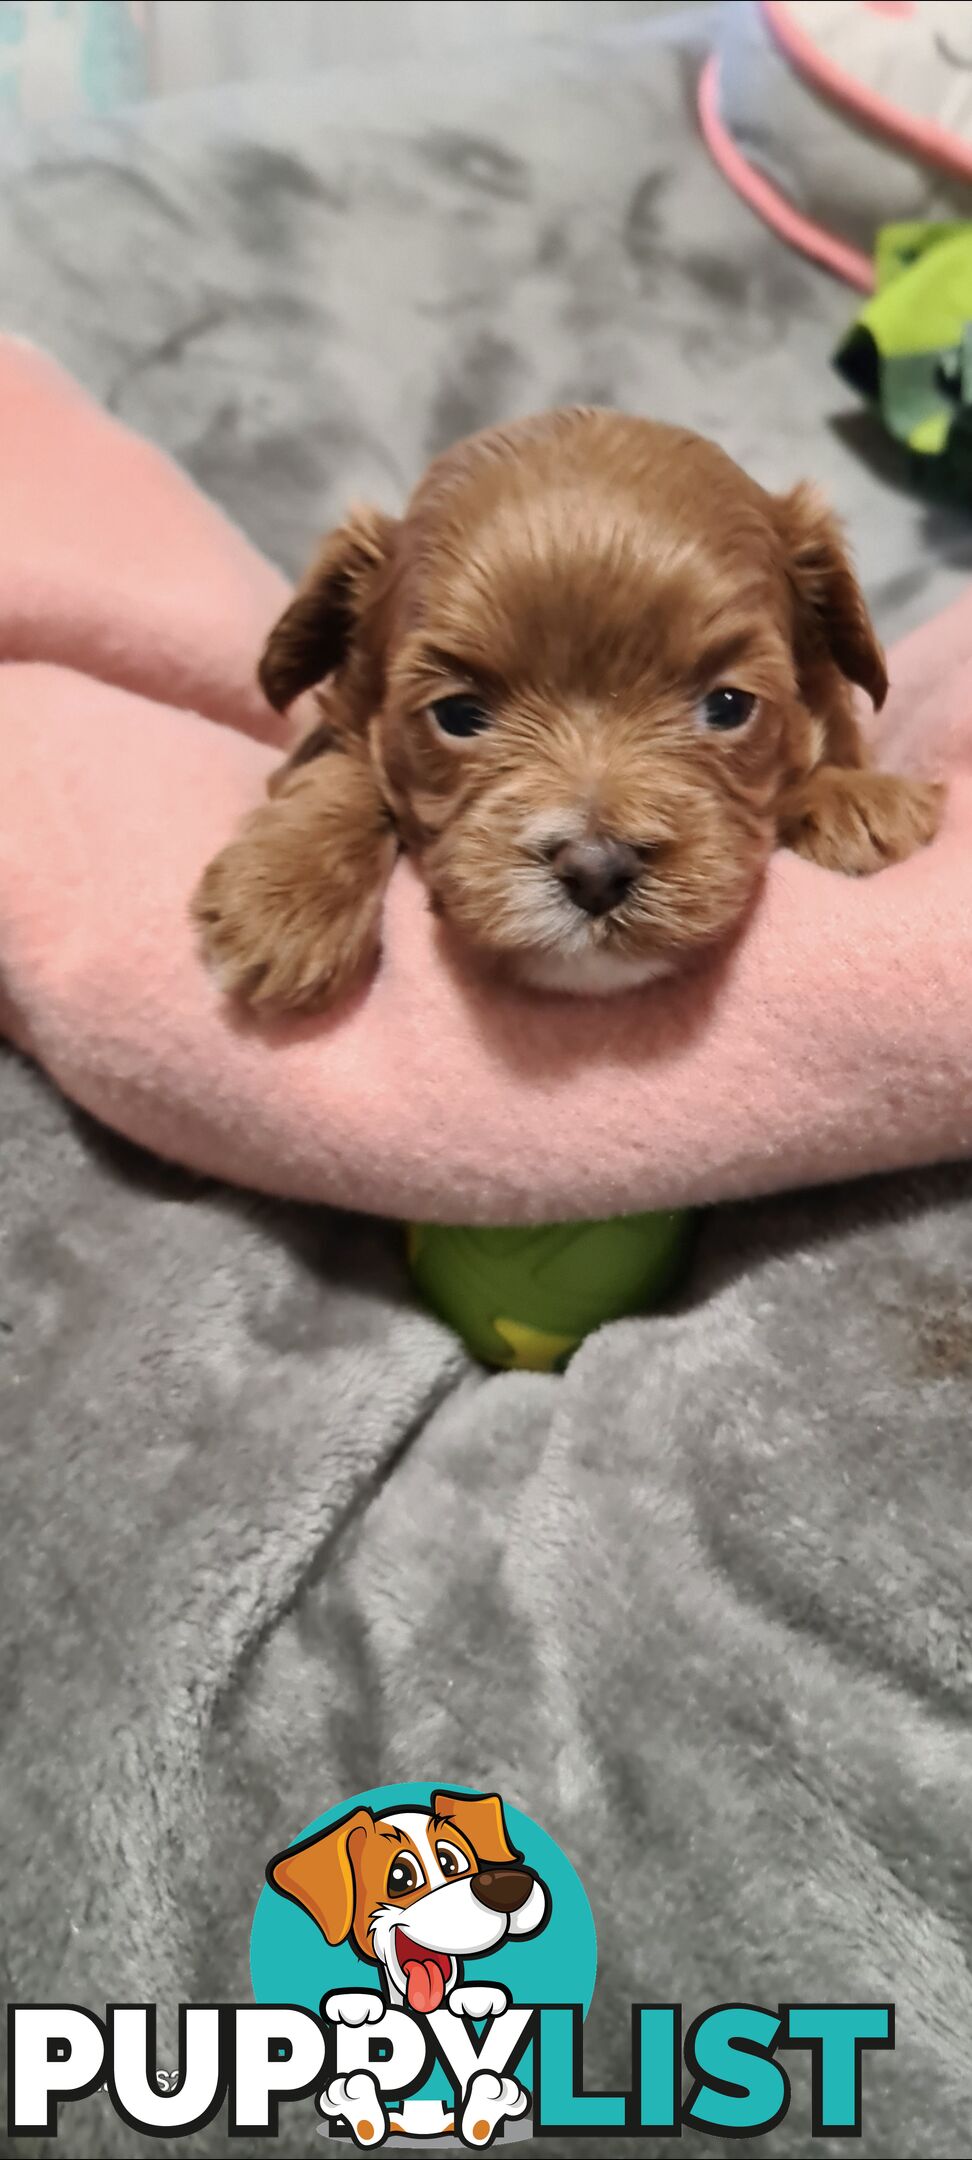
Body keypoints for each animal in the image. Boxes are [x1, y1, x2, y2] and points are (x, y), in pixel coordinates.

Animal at [192, 403, 941, 1002]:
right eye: (459, 715)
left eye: (728, 706)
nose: (596, 869)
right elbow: (341, 767)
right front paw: (284, 899)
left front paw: (857, 801)